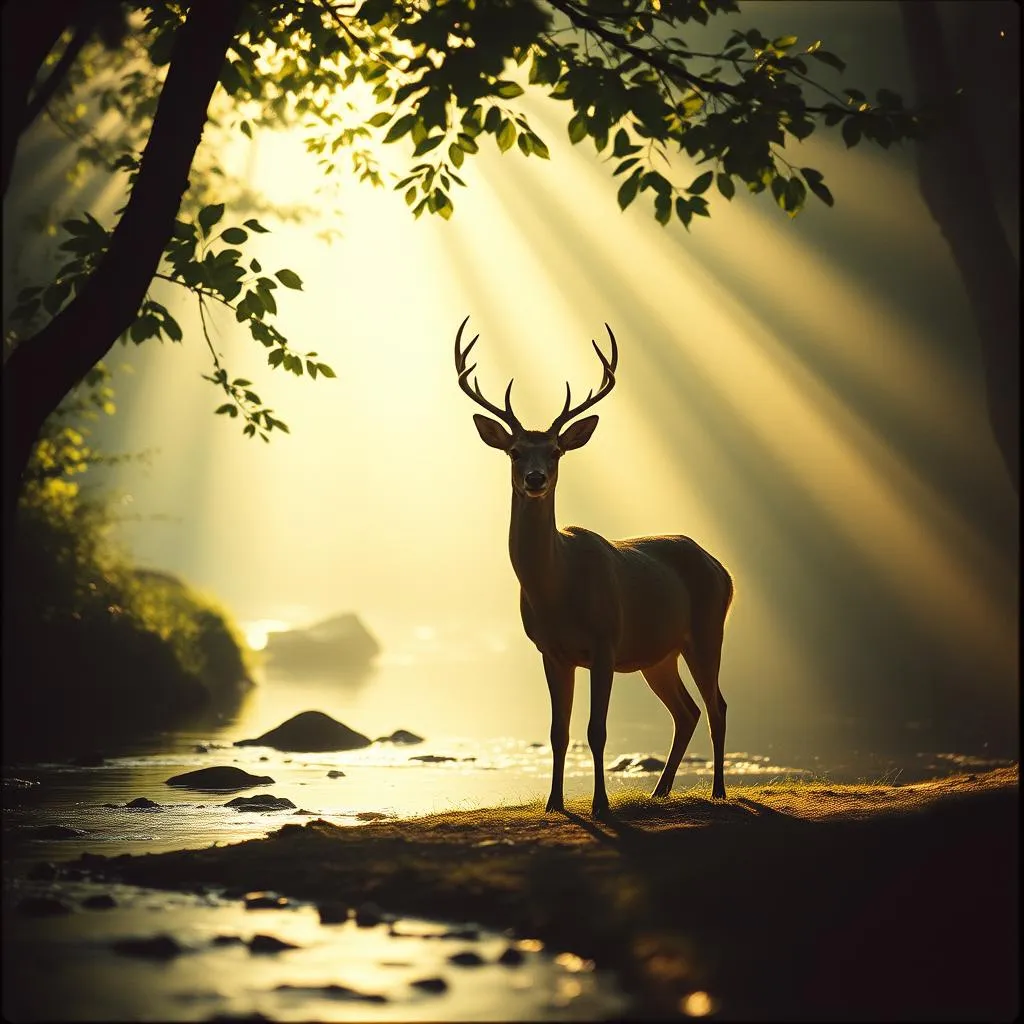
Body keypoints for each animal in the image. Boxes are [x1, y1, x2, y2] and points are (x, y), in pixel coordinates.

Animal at [454, 316, 734, 817]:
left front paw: (600, 805)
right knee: (687, 711)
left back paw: (719, 791)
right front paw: (554, 802)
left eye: (556, 451)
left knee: (717, 705)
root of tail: (723, 569)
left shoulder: (605, 640)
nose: (535, 479)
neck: (558, 589)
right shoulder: (550, 650)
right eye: (515, 451)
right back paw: (659, 791)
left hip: (706, 629)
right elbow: (557, 732)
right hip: (658, 654)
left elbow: (596, 731)